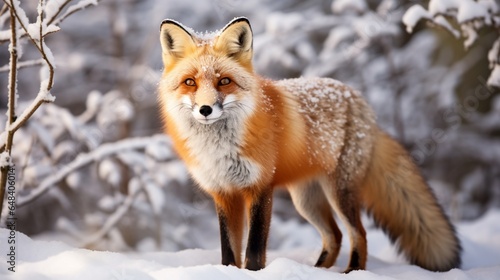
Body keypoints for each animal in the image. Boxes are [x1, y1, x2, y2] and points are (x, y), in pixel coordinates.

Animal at [156, 17, 460, 272]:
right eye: (190, 82)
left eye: (224, 81)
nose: (205, 109)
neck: (220, 149)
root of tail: (359, 99)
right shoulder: (223, 193)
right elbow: (229, 252)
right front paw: (229, 272)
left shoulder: (260, 187)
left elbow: (253, 251)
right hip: (306, 200)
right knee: (335, 236)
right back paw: (318, 271)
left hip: (339, 192)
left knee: (357, 233)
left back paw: (352, 271)